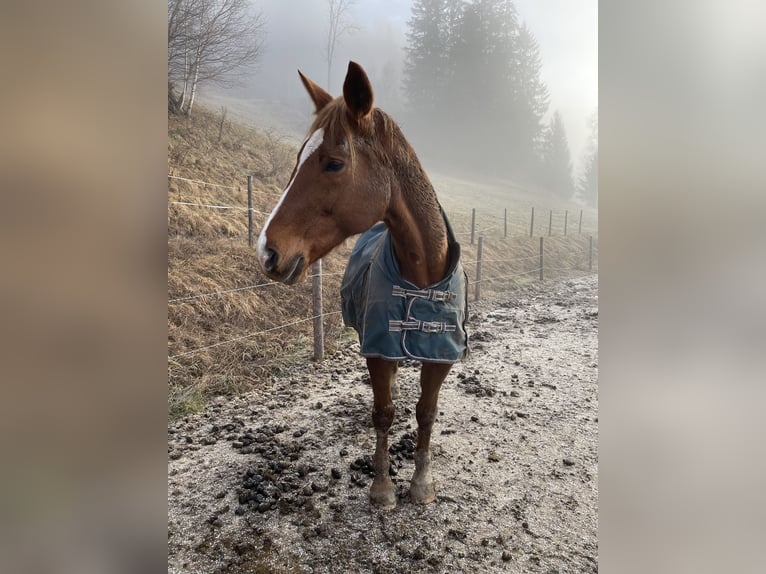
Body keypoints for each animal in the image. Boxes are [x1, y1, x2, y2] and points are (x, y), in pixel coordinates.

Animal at [258, 60, 468, 510]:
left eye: (334, 163)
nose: (266, 251)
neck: (421, 279)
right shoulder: (377, 349)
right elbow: (384, 413)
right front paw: (383, 486)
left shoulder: (440, 357)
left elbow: (426, 413)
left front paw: (421, 484)